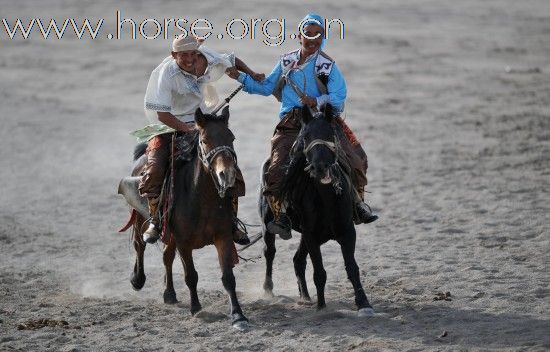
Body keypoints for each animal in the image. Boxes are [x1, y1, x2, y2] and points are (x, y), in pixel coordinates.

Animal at [123, 107, 250, 330]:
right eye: (205, 140)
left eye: (231, 137)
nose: (227, 175)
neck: (202, 198)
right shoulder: (184, 242)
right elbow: (191, 276)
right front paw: (196, 308)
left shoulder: (223, 237)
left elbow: (228, 277)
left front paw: (238, 315)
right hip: (140, 216)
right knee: (140, 244)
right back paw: (137, 279)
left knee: (166, 257)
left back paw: (170, 294)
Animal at [262, 104, 376, 316]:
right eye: (305, 136)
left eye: (331, 133)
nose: (320, 167)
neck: (326, 198)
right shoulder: (311, 235)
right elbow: (319, 272)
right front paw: (322, 306)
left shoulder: (347, 232)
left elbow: (352, 268)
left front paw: (364, 304)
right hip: (268, 225)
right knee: (270, 252)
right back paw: (268, 290)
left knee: (298, 260)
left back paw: (305, 297)